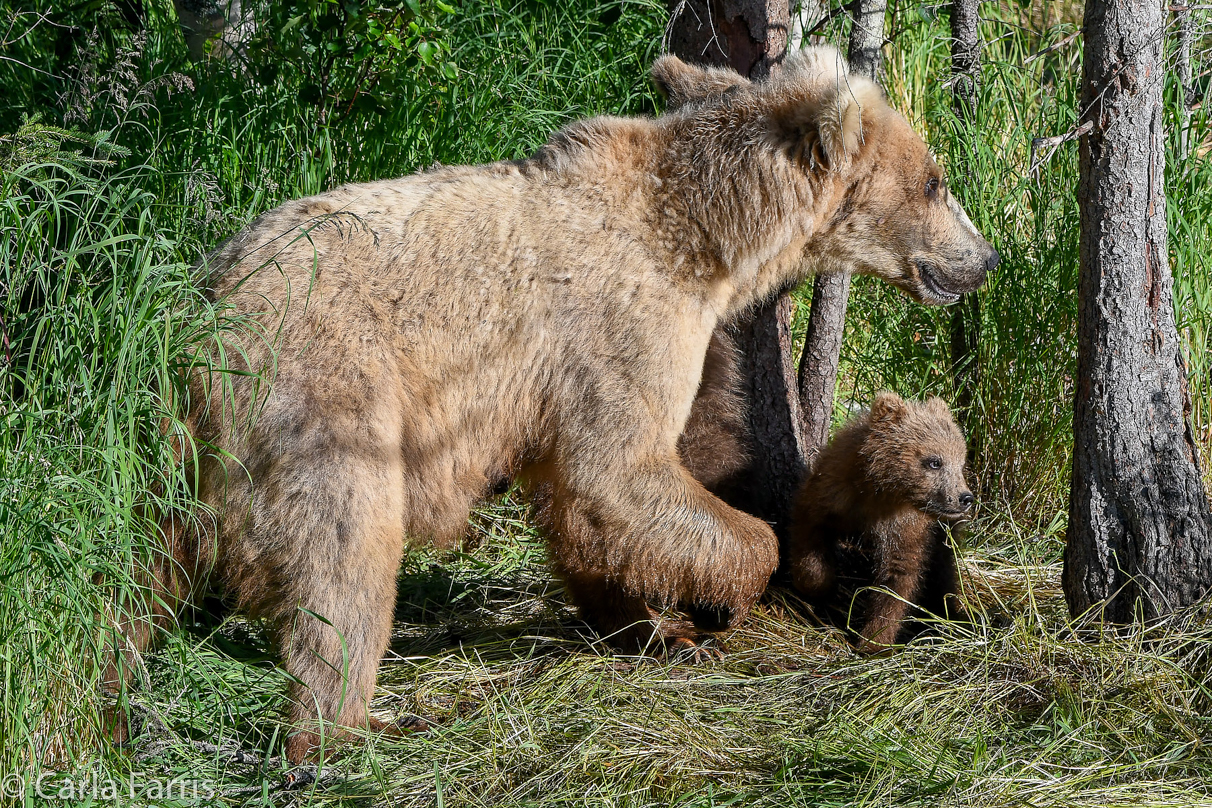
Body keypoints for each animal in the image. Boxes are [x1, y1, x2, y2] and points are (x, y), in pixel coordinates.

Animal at [785, 392, 974, 658]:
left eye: (960, 462)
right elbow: (809, 530)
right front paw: (817, 584)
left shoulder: (904, 526)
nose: (964, 497)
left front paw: (874, 640)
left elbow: (897, 577)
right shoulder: (832, 492)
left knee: (943, 571)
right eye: (934, 461)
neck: (882, 490)